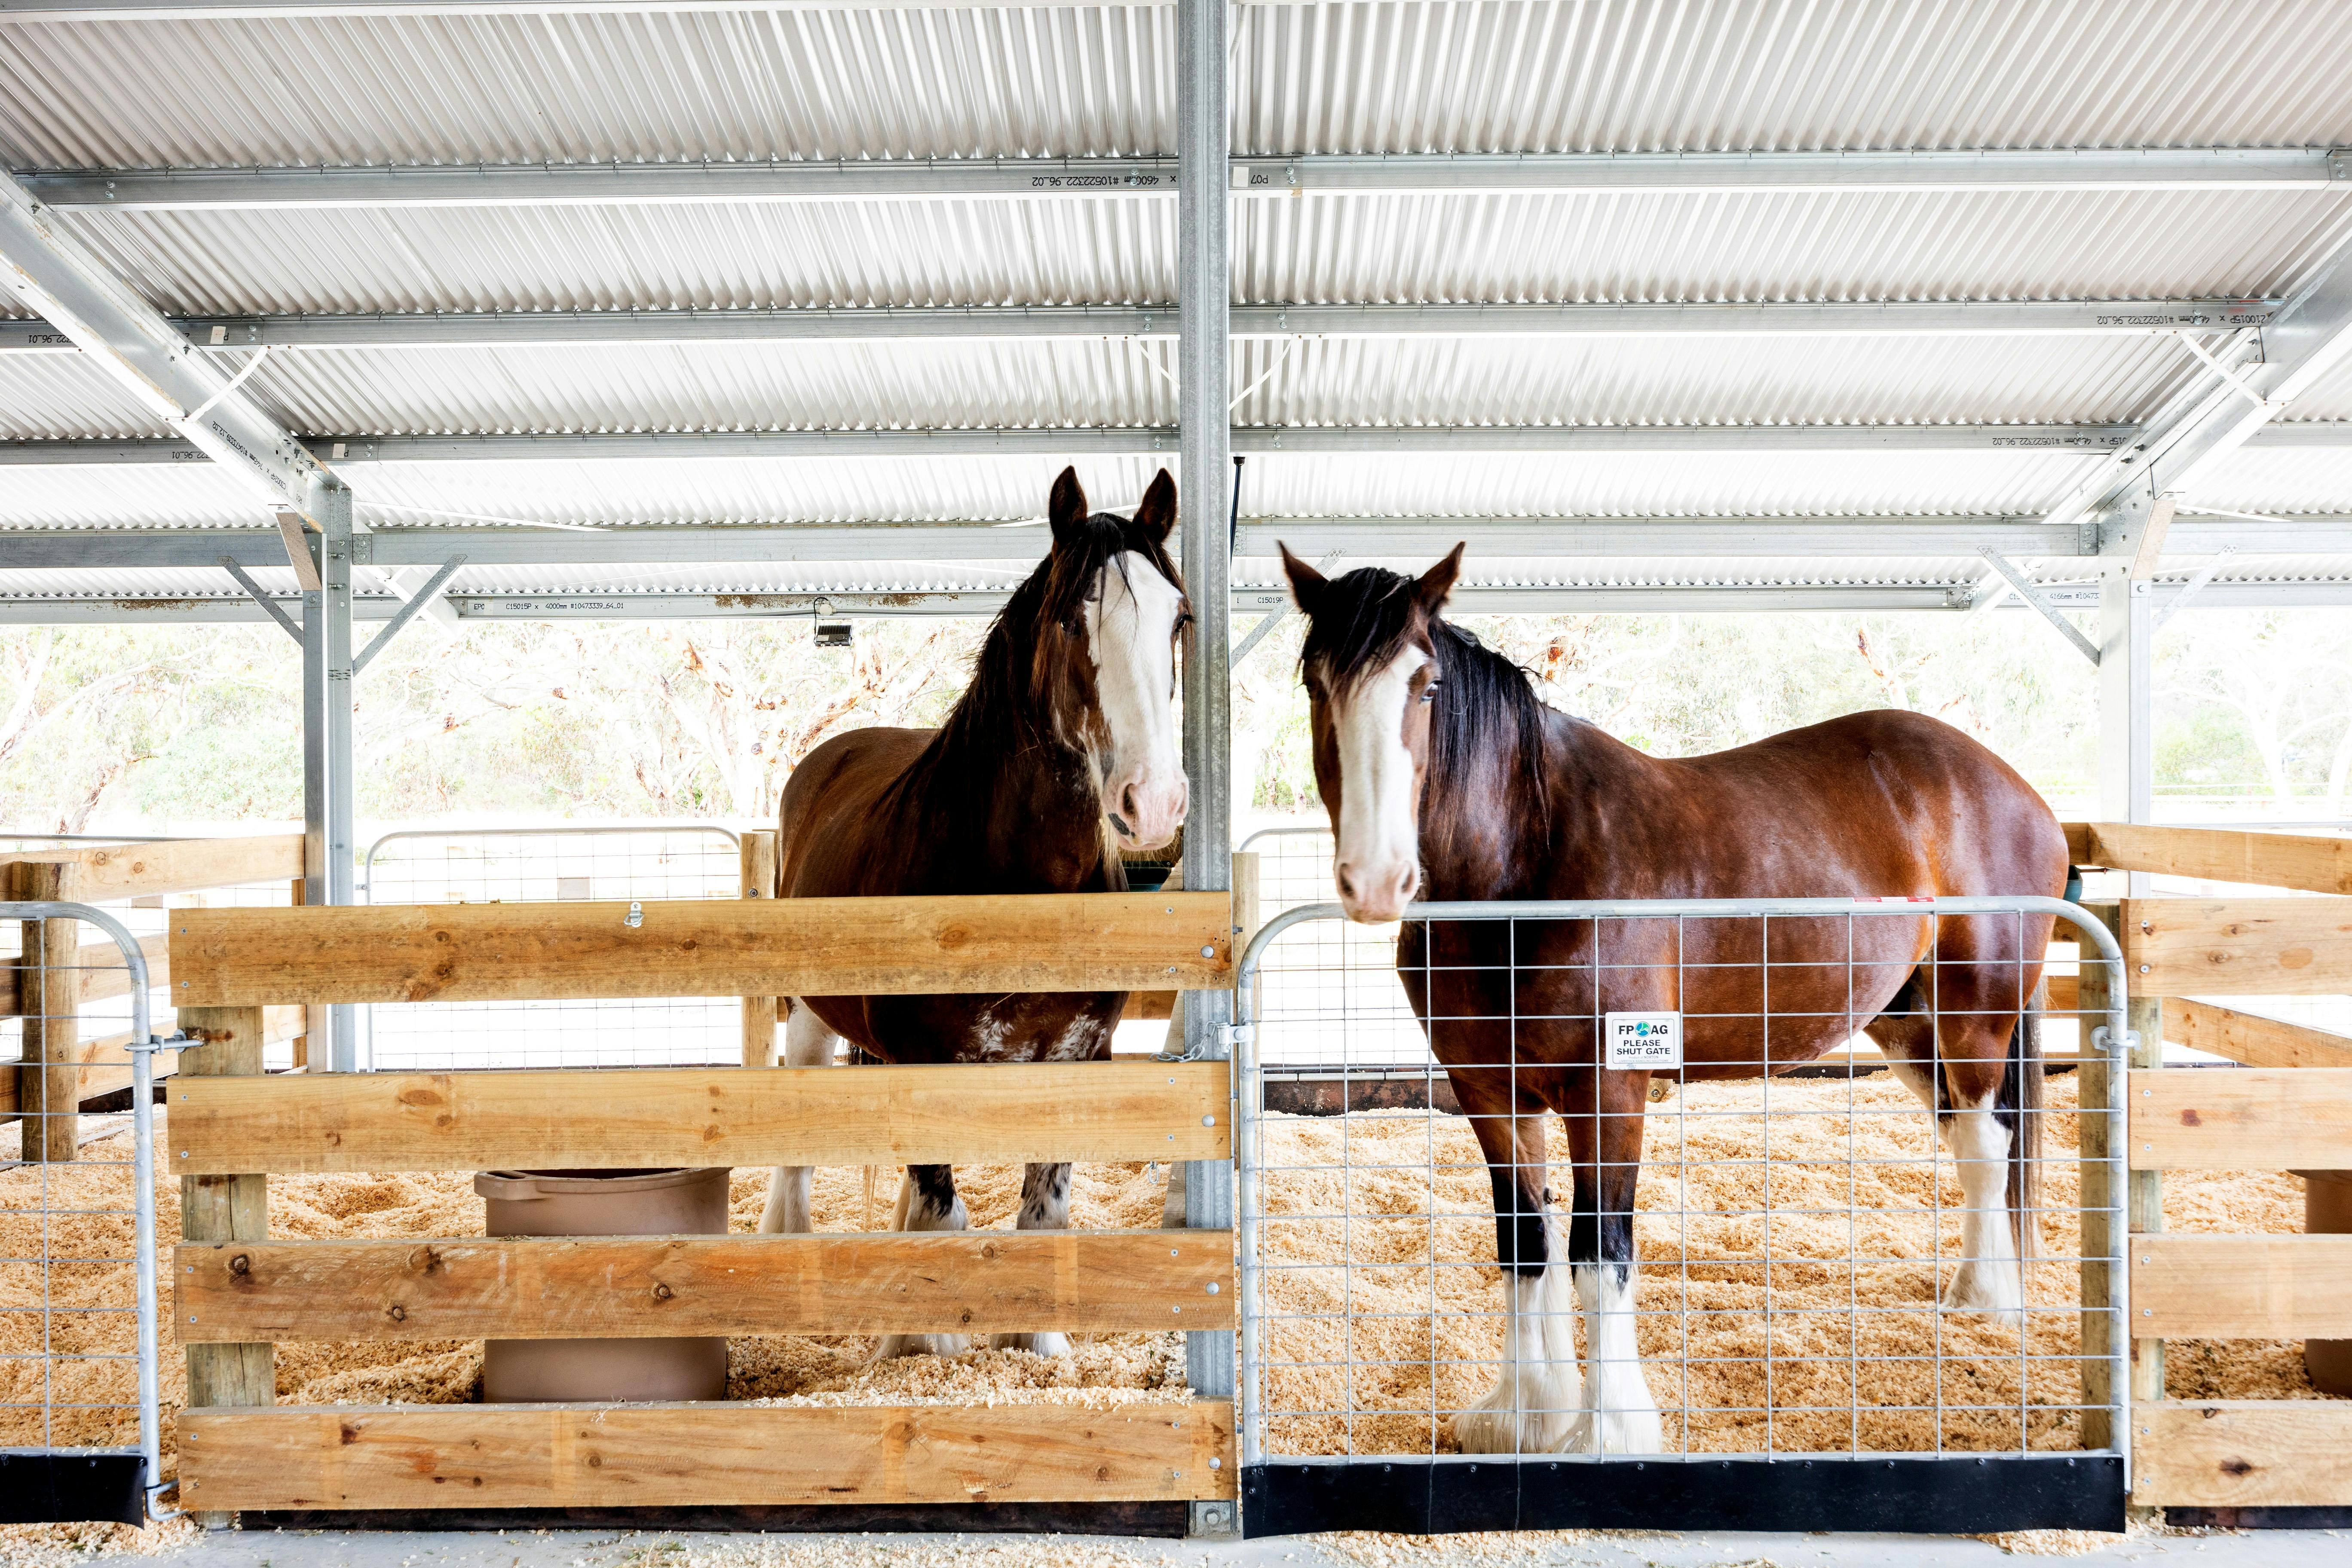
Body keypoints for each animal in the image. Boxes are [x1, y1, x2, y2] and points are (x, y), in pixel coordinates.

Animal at [756, 466, 1191, 1360]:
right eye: (1070, 617)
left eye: (1179, 617)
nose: (1155, 801)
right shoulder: (921, 1064)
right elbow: (942, 1212)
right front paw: (923, 1346)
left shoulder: (1074, 1063)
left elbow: (1040, 1212)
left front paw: (1042, 1345)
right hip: (812, 1016)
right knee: (804, 1149)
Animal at [1277, 543, 2068, 1455]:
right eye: (1315, 684)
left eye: (1427, 684)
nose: (1376, 880)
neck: (1528, 862)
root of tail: (2011, 786)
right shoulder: (1489, 1091)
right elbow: (1525, 1242)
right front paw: (1524, 1412)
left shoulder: (1609, 1089)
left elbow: (1599, 1250)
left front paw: (1607, 1429)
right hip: (1905, 1025)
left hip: (1975, 1017)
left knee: (1983, 1143)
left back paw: (1985, 1300)